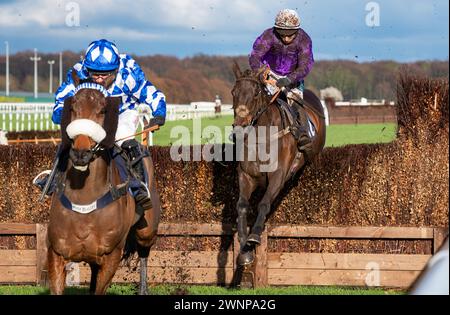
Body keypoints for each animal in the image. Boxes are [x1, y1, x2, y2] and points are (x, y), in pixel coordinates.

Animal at [46, 78, 160, 294]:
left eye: (102, 110)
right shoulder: (57, 254)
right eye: (72, 107)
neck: (85, 199)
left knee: (144, 250)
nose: (80, 153)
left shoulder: (111, 257)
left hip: (147, 229)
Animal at [232, 65, 324, 266]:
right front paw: (244, 250)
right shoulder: (246, 175)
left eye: (256, 93)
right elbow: (241, 205)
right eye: (233, 92)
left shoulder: (278, 175)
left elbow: (264, 203)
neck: (260, 136)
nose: (239, 127)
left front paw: (254, 236)